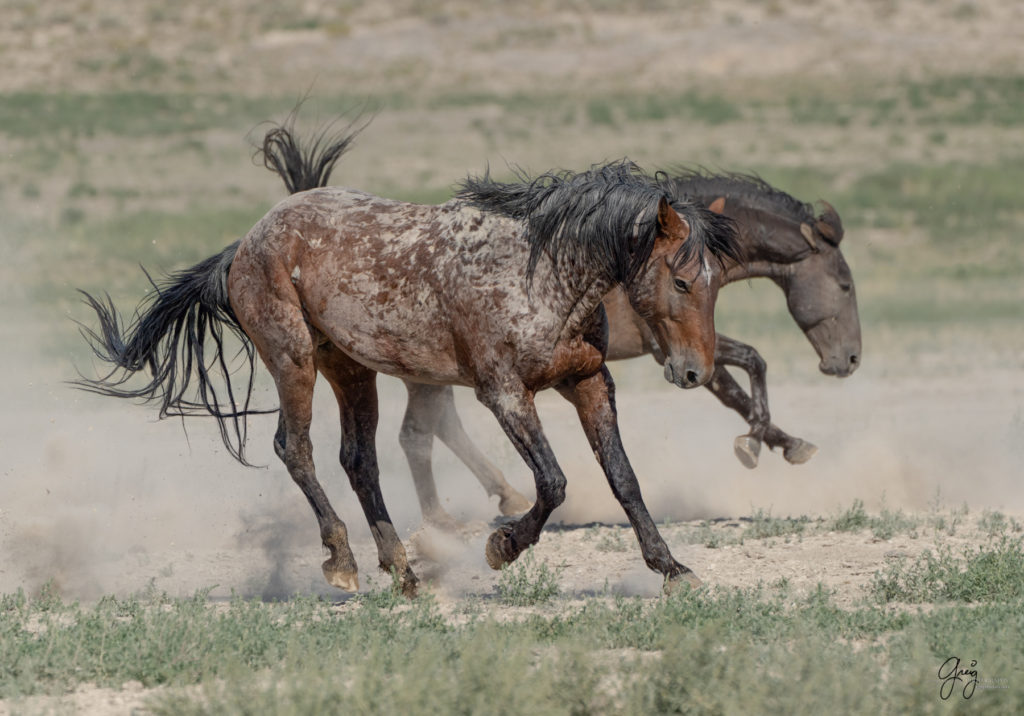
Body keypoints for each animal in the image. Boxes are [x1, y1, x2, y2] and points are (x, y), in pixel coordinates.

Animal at [75, 159, 741, 598]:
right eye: (682, 280)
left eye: (716, 283)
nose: (693, 371)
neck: (543, 273)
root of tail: (249, 239)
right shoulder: (504, 394)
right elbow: (552, 483)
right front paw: (501, 548)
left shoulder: (590, 382)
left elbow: (623, 480)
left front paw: (673, 569)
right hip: (293, 359)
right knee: (296, 449)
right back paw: (342, 560)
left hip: (350, 370)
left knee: (358, 460)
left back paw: (403, 570)